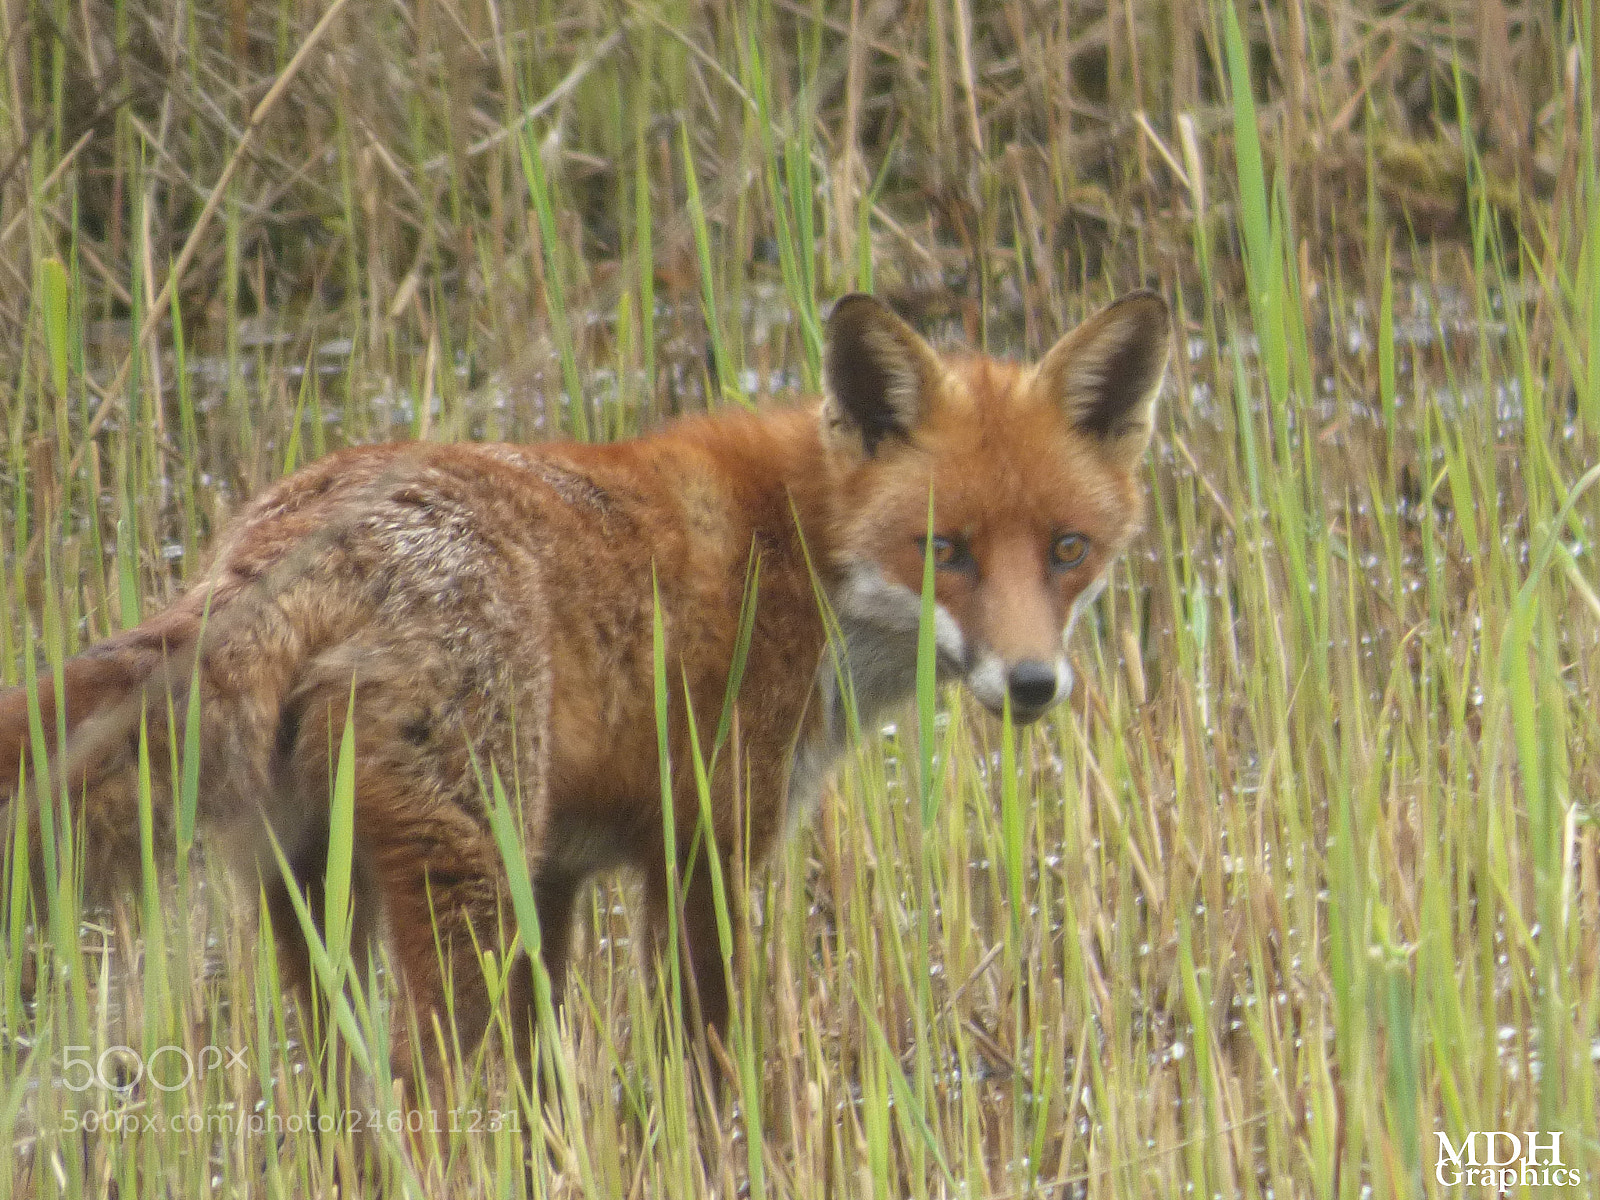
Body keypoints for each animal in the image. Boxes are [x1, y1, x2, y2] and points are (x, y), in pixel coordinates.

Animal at [0, 289, 1170, 1099]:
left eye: (1067, 550)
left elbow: (543, 1071)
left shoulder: (559, 876)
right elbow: (713, 1060)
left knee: (342, 1080)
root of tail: (285, 531)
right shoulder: (703, 848)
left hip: (321, 889)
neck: (800, 550)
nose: (1032, 684)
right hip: (465, 878)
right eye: (945, 550)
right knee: (427, 1079)